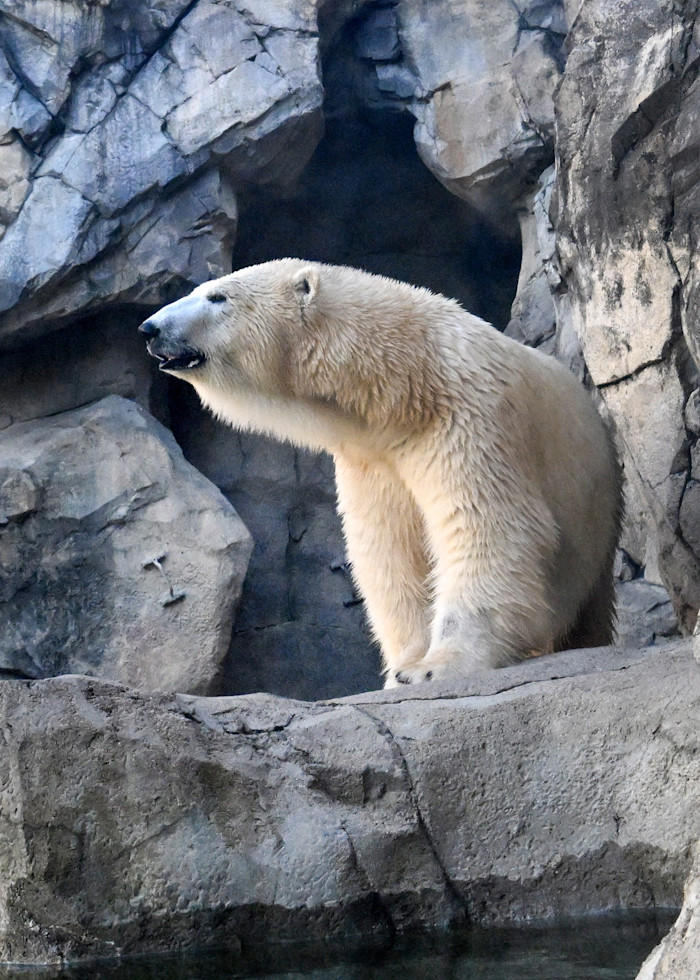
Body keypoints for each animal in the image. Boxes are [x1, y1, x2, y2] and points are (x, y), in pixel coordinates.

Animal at [139, 259, 622, 688]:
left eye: (217, 296)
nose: (149, 328)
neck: (406, 381)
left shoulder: (470, 415)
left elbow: (486, 526)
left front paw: (438, 667)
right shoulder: (373, 456)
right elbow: (390, 552)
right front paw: (402, 669)